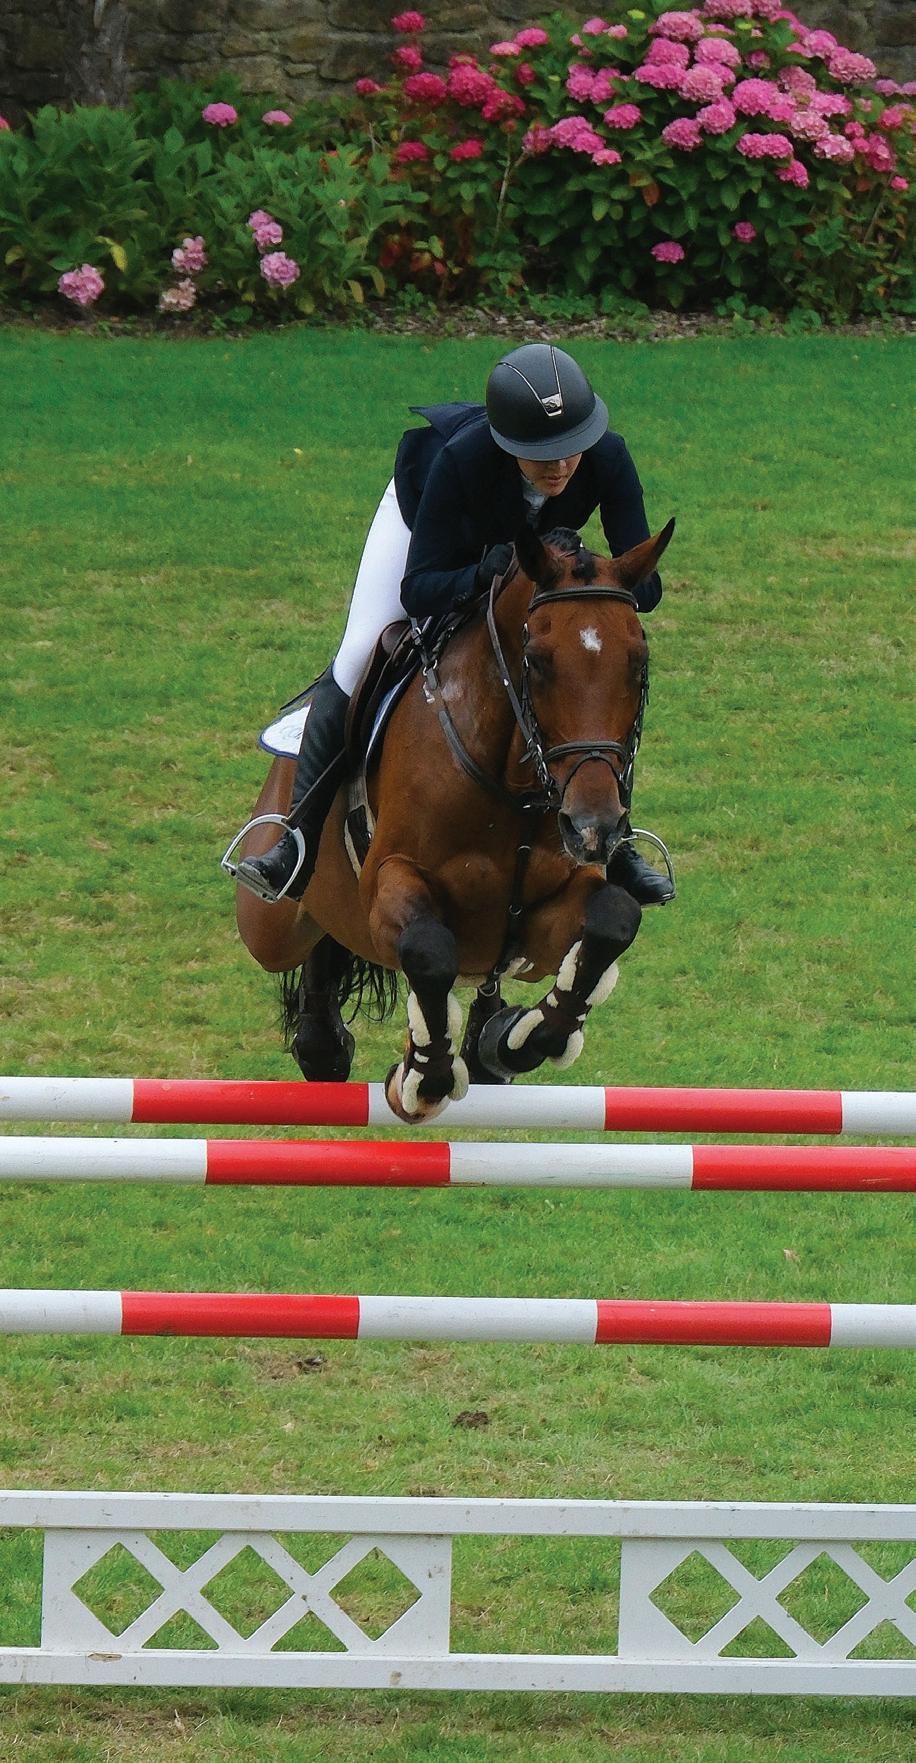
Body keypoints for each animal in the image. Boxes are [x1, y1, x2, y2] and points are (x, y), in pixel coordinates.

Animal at [232, 517, 674, 1123]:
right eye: (537, 661)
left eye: (638, 662)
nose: (594, 827)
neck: (514, 788)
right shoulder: (390, 882)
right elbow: (428, 950)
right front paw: (425, 1076)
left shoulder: (540, 925)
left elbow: (614, 918)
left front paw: (516, 1040)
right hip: (270, 926)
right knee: (309, 931)